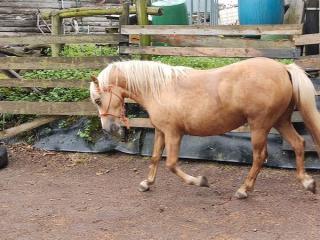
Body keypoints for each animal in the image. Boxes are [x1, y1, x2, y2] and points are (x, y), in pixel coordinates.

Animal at [90, 57, 318, 198]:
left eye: (99, 100)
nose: (108, 129)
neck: (160, 89)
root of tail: (283, 68)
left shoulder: (173, 134)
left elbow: (171, 164)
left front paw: (201, 181)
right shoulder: (160, 131)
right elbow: (154, 158)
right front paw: (146, 183)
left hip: (259, 126)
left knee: (260, 156)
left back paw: (243, 190)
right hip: (280, 121)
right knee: (299, 144)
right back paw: (307, 183)